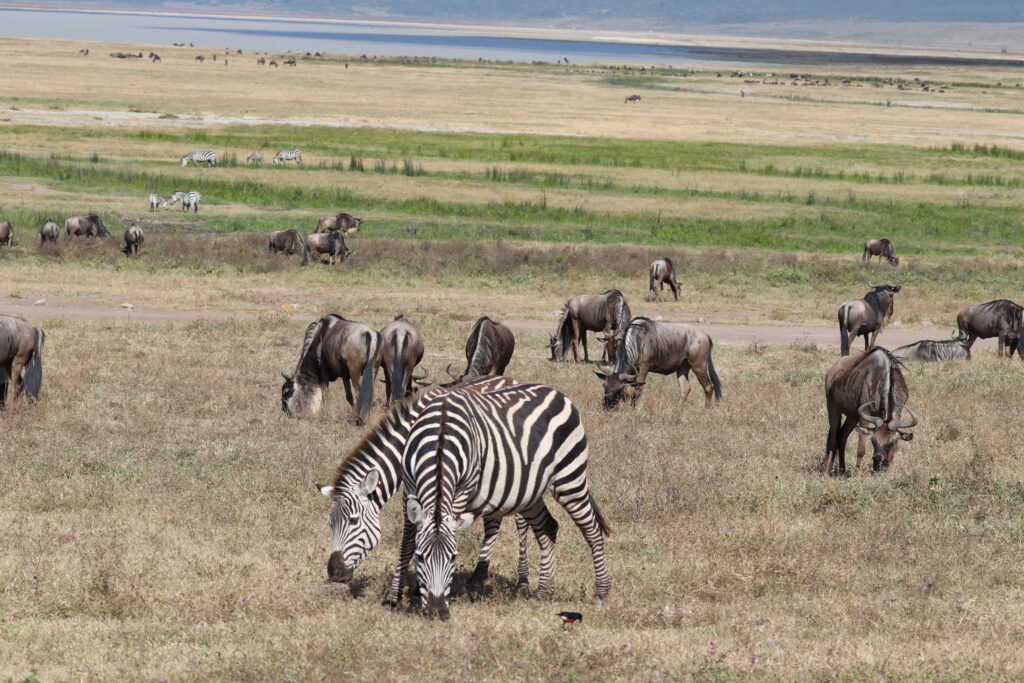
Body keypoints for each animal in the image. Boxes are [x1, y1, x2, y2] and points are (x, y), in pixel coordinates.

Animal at [319, 376, 532, 606]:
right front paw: (416, 587)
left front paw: (396, 595)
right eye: (331, 524)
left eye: (353, 521)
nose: (334, 573)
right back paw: (479, 575)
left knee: (521, 521)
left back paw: (522, 581)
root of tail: (509, 378)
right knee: (493, 521)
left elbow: (408, 542)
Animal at [403, 385, 610, 618]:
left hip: (570, 477)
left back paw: (601, 592)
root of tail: (557, 393)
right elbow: (409, 540)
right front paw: (408, 591)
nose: (437, 611)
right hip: (530, 492)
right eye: (420, 558)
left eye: (454, 558)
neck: (440, 438)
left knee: (592, 530)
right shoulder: (409, 488)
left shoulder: (462, 491)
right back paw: (543, 591)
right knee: (548, 527)